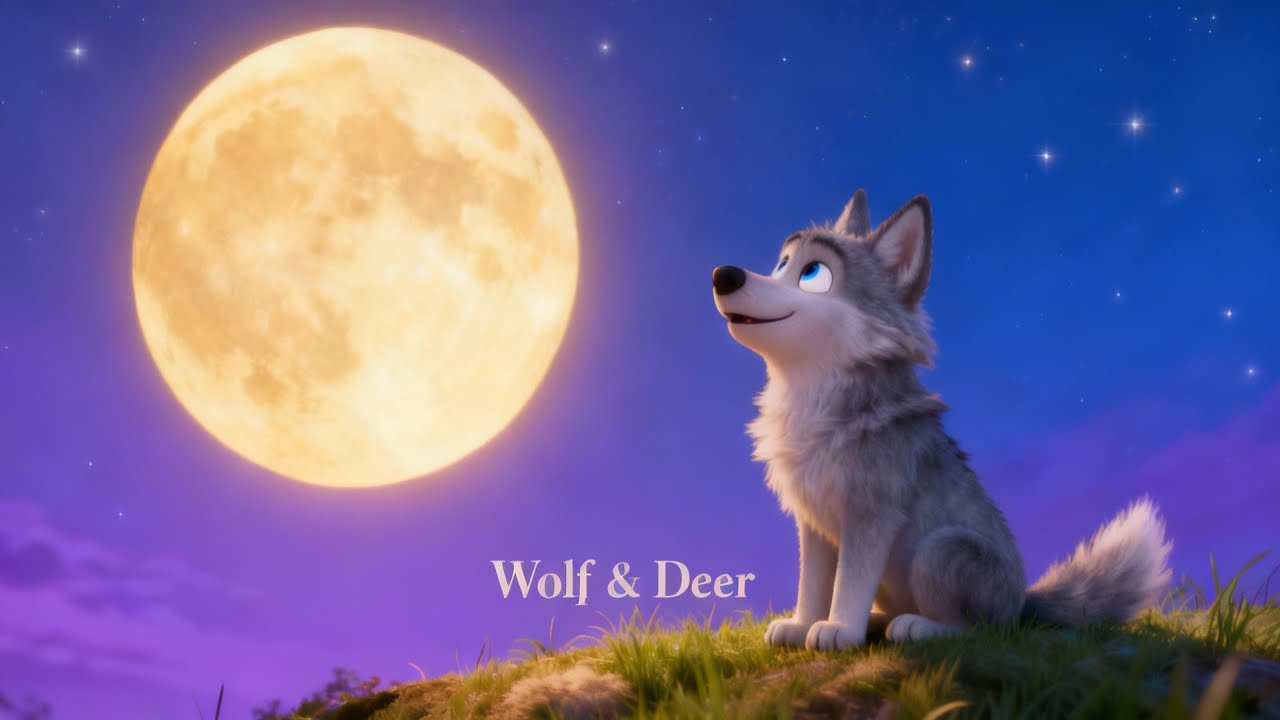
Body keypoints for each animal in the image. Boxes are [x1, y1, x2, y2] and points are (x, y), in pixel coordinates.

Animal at [712, 189, 1172, 650]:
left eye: (812, 274)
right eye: (781, 264)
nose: (724, 275)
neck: (810, 400)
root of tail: (1022, 603)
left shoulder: (871, 516)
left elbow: (849, 586)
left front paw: (839, 630)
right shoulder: (814, 526)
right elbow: (812, 584)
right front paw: (802, 625)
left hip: (939, 551)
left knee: (975, 629)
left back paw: (917, 627)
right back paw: (879, 621)